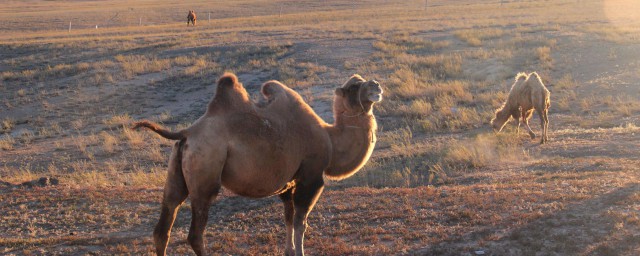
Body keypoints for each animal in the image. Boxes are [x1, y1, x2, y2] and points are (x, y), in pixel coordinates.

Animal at [130, 72, 380, 256]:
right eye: (354, 87)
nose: (376, 85)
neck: (331, 139)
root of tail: (188, 132)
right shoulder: (311, 177)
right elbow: (301, 222)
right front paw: (299, 251)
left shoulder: (289, 182)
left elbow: (288, 218)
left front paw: (289, 251)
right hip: (205, 171)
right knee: (195, 233)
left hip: (177, 169)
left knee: (164, 224)